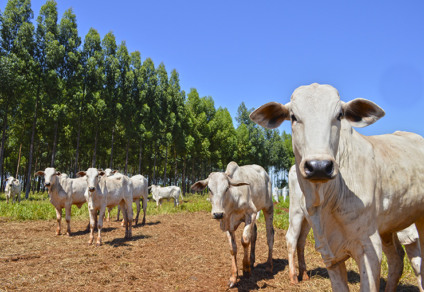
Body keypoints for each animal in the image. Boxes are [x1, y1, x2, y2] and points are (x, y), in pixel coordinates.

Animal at [286, 164, 422, 288]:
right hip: (296, 211)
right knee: (291, 238)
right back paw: (293, 277)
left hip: (309, 221)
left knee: (301, 240)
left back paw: (304, 274)